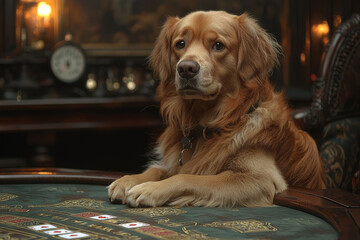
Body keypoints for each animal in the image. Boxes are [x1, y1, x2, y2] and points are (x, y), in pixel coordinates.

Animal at [107, 10, 326, 207]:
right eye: (180, 44)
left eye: (218, 45)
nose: (186, 68)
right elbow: (158, 169)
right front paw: (128, 180)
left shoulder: (260, 179)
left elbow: (187, 177)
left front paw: (149, 189)